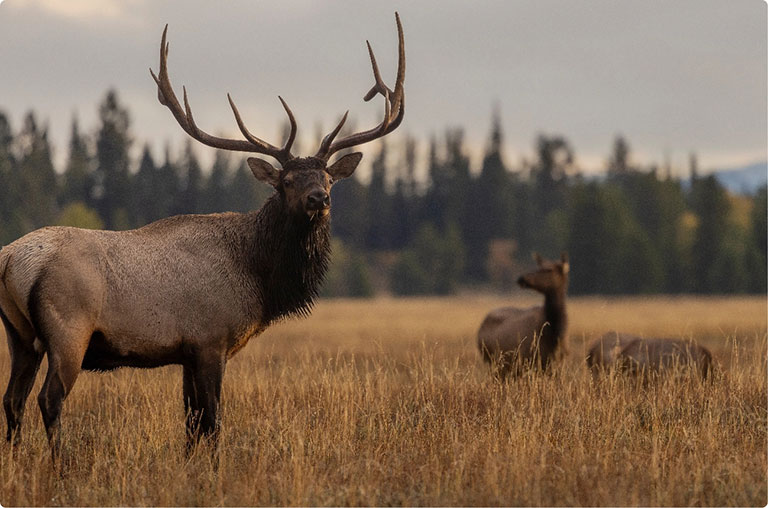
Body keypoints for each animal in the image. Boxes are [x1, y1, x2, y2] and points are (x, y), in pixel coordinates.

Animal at [0, 13, 405, 462]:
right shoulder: (211, 340)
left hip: (20, 335)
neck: (258, 276)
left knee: (12, 400)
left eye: (329, 178)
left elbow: (191, 423)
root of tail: (10, 258)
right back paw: (60, 464)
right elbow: (212, 421)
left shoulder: (187, 353)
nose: (320, 198)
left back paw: (16, 462)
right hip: (68, 330)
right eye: (287, 181)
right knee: (48, 399)